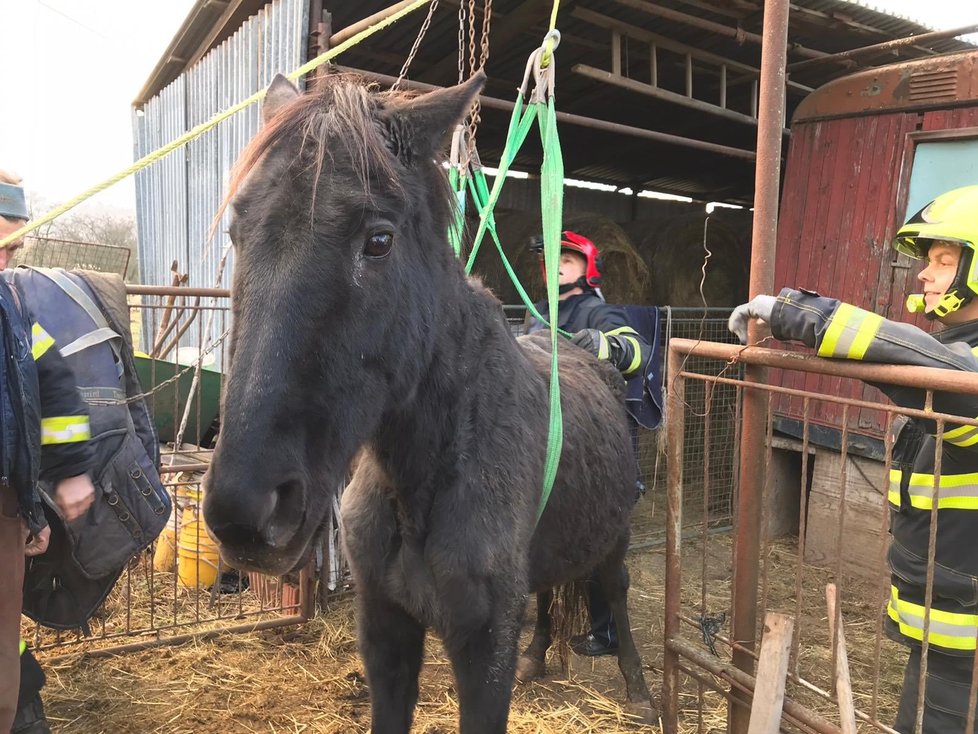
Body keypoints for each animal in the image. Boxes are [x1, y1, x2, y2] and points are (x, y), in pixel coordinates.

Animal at [202, 70, 652, 734]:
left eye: (378, 240)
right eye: (237, 232)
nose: (247, 511)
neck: (427, 477)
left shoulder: (484, 651)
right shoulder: (385, 633)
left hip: (615, 537)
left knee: (614, 591)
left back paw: (641, 689)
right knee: (548, 591)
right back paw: (539, 657)